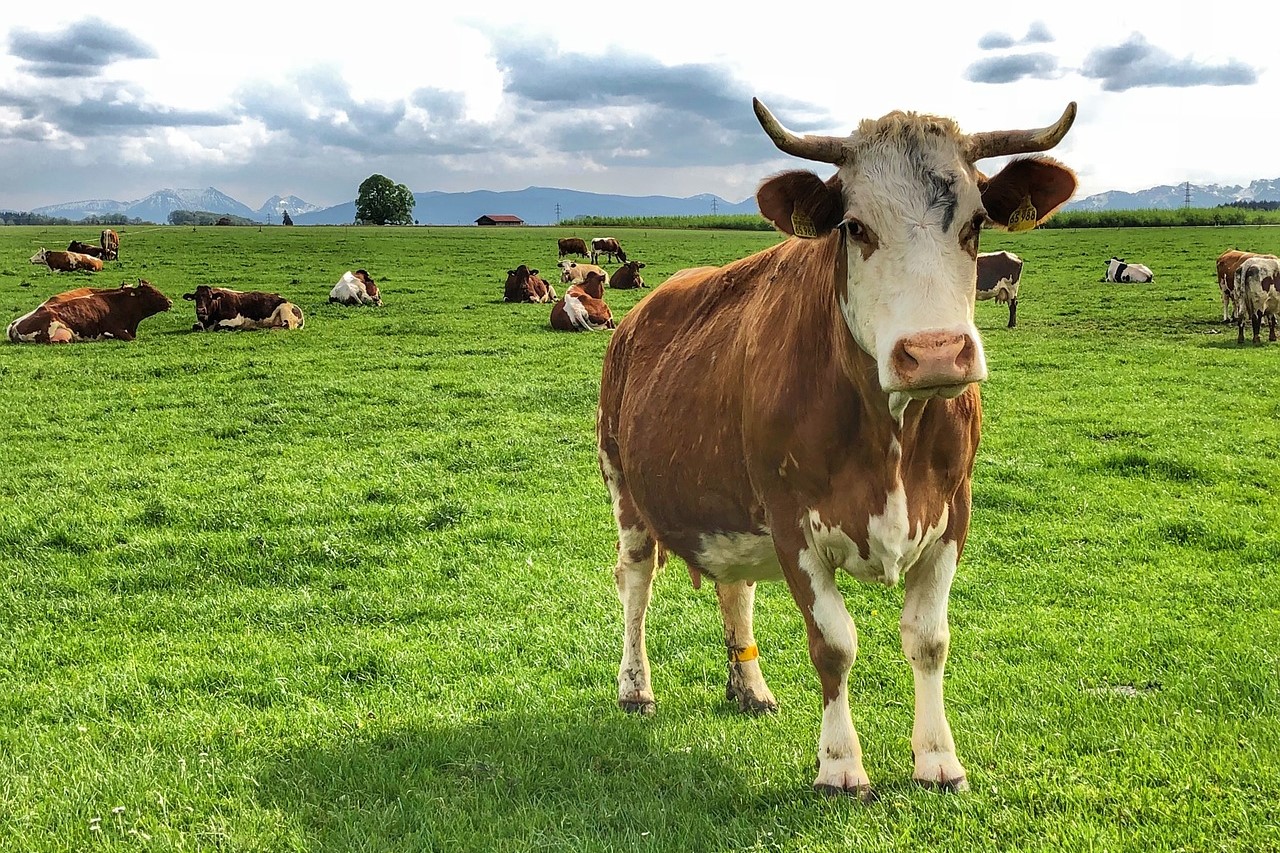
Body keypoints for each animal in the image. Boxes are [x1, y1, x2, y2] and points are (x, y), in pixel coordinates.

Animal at [593, 96, 1075, 794]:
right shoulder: (792, 520)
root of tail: (641, 309)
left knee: (735, 588)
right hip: (624, 485)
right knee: (635, 580)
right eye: (853, 227)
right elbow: (833, 644)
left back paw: (750, 686)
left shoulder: (953, 513)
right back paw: (635, 688)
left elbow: (929, 639)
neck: (891, 433)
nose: (934, 352)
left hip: (728, 502)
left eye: (976, 222)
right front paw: (841, 766)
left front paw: (938, 760)